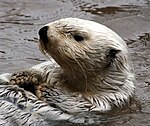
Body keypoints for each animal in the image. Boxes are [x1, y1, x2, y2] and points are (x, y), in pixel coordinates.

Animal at [0, 17, 134, 124]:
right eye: (59, 20)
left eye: (78, 37)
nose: (43, 30)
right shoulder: (51, 69)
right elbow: (42, 69)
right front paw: (22, 76)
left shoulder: (110, 99)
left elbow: (84, 105)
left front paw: (47, 90)